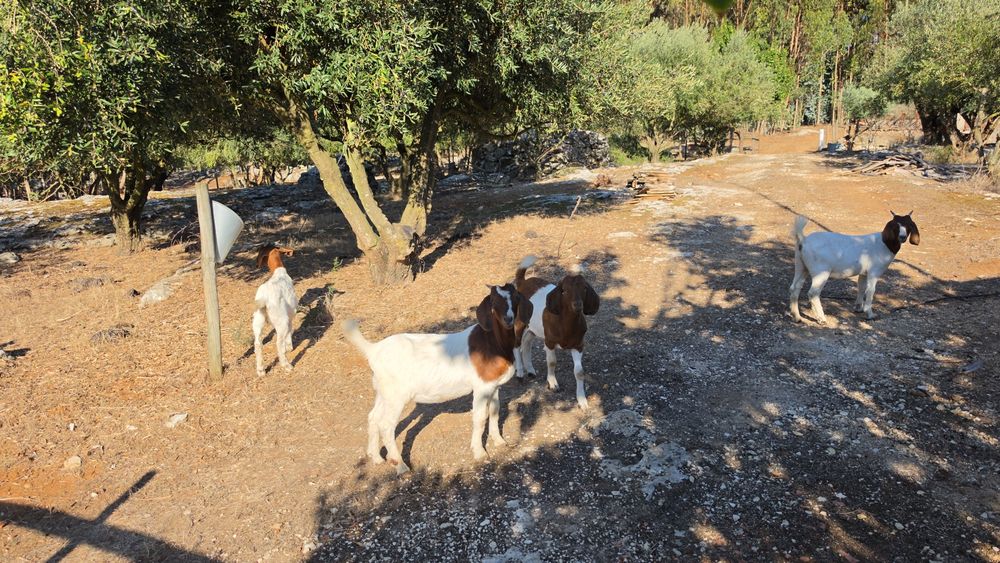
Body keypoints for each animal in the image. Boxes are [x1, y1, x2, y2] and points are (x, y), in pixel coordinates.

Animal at [253, 244, 298, 376]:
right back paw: (286, 365)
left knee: (258, 343)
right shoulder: (291, 313)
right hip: (281, 321)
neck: (279, 272)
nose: (256, 265)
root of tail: (265, 297)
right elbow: (290, 330)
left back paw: (261, 370)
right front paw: (289, 347)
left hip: (257, 320)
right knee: (278, 343)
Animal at [342, 284, 532, 474]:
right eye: (493, 302)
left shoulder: (494, 386)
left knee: (373, 417)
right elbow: (479, 417)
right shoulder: (481, 386)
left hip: (383, 391)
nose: (508, 319)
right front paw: (479, 453)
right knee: (386, 425)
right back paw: (401, 466)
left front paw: (500, 442)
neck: (493, 342)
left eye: (515, 298)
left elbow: (494, 411)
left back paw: (376, 457)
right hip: (396, 395)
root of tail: (373, 350)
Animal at [513, 256, 600, 409]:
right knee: (517, 345)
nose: (577, 305)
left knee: (527, 344)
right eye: (564, 290)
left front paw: (582, 400)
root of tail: (522, 282)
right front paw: (553, 384)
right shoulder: (549, 341)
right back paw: (520, 373)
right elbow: (552, 362)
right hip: (519, 322)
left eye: (584, 288)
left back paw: (530, 370)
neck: (566, 327)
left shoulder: (578, 345)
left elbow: (579, 372)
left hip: (532, 328)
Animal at [790, 212, 920, 324]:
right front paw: (870, 314)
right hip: (821, 272)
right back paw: (822, 319)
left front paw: (858, 308)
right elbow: (871, 291)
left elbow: (861, 287)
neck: (883, 244)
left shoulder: (863, 273)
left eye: (908, 225)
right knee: (813, 293)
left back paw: (797, 317)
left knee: (795, 287)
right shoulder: (874, 272)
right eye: (895, 226)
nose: (902, 237)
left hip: (801, 266)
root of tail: (803, 240)